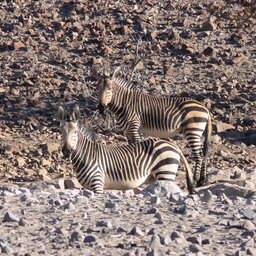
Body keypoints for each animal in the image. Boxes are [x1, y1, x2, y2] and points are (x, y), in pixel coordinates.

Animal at [58, 104, 194, 194]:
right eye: (61, 132)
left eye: (75, 132)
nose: (66, 151)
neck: (86, 156)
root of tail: (172, 145)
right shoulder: (88, 188)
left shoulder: (98, 183)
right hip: (155, 177)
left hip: (165, 172)